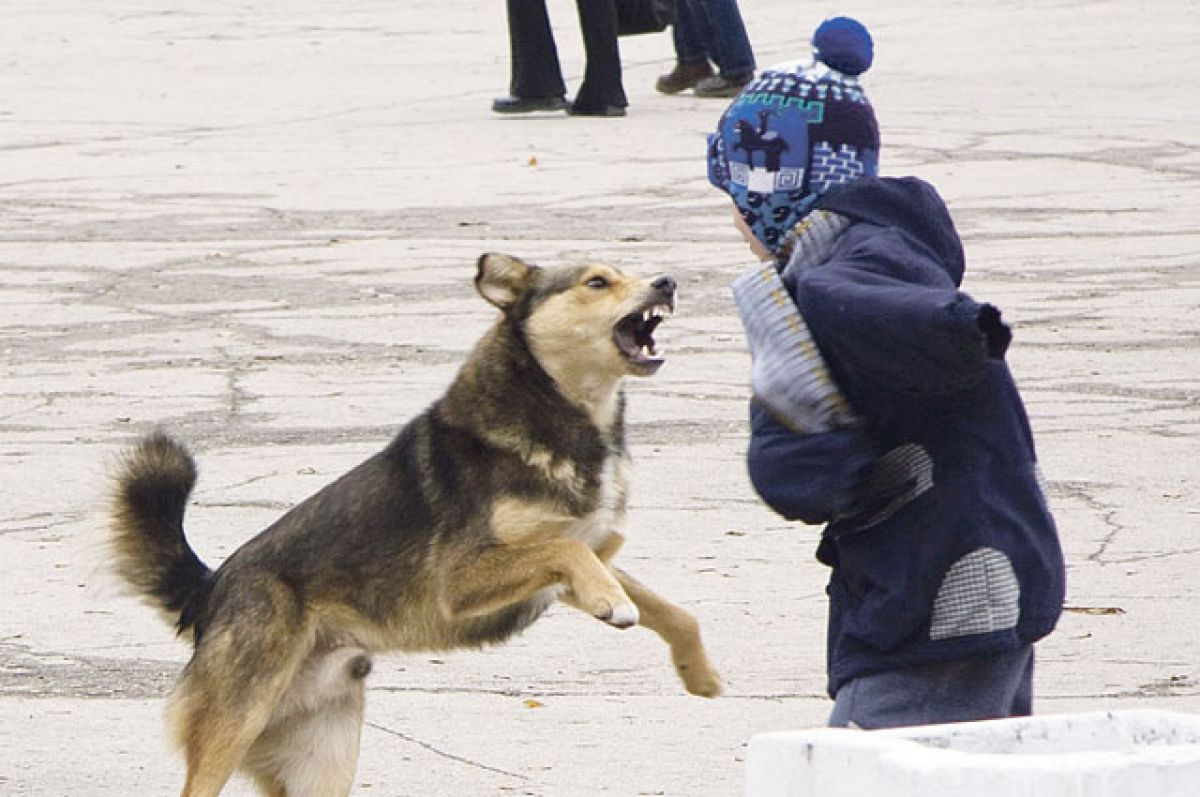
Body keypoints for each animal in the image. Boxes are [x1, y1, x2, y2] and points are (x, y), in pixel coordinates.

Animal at [110, 253, 720, 797]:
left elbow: (672, 610)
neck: (562, 413)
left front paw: (699, 672)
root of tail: (210, 589)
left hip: (323, 760)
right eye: (597, 282)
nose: (666, 282)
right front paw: (614, 606)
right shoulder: (465, 580)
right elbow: (569, 556)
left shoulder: (581, 558)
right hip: (235, 722)